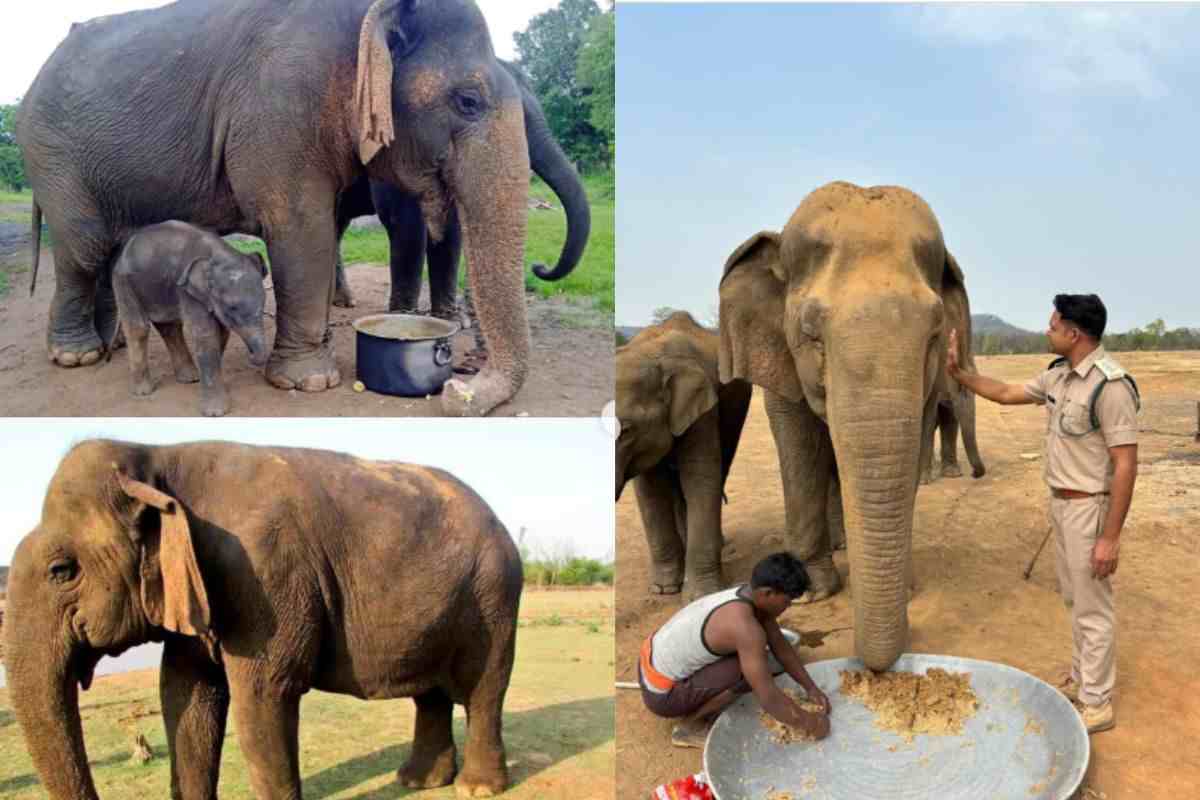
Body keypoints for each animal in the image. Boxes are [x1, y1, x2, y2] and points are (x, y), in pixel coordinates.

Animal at [3, 439, 523, 800]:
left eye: (61, 571)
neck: (158, 456)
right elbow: (185, 692)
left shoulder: (264, 575)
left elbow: (263, 696)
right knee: (430, 692)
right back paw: (419, 782)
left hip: (496, 594)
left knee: (485, 688)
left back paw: (476, 788)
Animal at [19, 0, 538, 415]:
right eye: (468, 101)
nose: (456, 390)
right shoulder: (282, 109)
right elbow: (302, 227)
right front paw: (309, 381)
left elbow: (323, 228)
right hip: (56, 160)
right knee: (84, 250)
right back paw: (77, 356)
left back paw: (115, 344)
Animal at [615, 312, 753, 600]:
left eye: (626, 431)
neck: (651, 354)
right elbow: (650, 492)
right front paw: (664, 590)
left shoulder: (702, 410)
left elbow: (700, 478)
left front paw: (702, 595)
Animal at [718, 181, 974, 671]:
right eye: (810, 333)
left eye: (935, 333)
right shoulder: (780, 358)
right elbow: (798, 443)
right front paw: (814, 593)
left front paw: (903, 585)